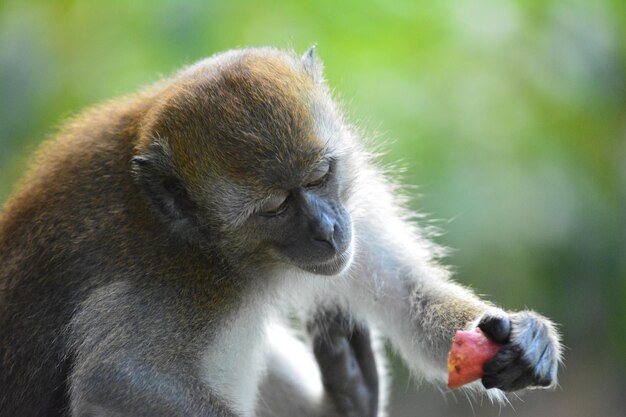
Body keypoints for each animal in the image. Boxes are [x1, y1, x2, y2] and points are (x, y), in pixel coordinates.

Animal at [0, 46, 560, 416]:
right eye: (274, 207)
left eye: (319, 175)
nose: (328, 230)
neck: (209, 243)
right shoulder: (170, 277)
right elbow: (118, 378)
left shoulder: (353, 204)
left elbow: (409, 296)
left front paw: (522, 338)